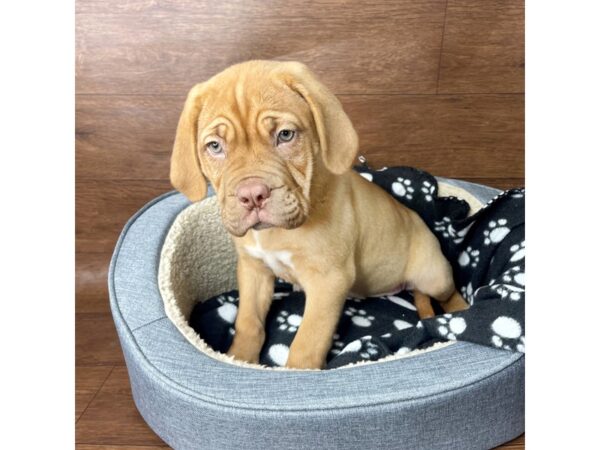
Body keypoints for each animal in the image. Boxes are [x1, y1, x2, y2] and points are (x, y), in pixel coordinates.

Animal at [169, 60, 468, 370]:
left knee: (449, 293)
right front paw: (239, 359)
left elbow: (307, 343)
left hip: (434, 275)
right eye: (215, 146)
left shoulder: (328, 280)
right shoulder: (253, 269)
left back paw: (460, 317)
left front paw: (296, 373)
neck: (275, 233)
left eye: (285, 135)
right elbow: (248, 321)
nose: (252, 195)